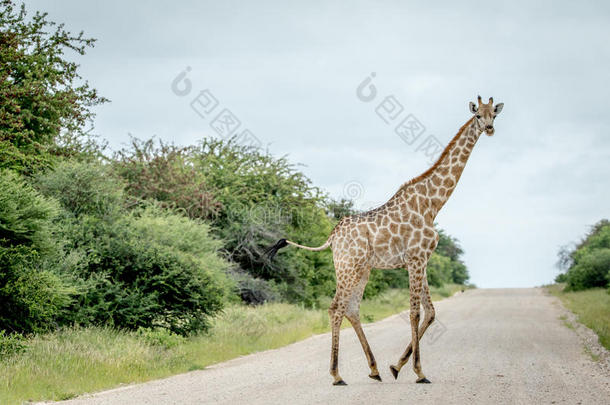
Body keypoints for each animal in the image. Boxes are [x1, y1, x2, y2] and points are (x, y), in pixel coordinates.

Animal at [266, 95, 504, 386]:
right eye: (478, 115)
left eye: (494, 113)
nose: (490, 128)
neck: (433, 203)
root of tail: (332, 236)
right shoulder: (415, 259)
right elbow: (415, 312)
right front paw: (419, 372)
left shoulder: (421, 260)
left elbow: (431, 312)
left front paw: (396, 366)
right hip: (347, 267)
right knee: (336, 308)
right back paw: (337, 375)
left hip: (362, 269)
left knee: (352, 308)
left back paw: (374, 369)